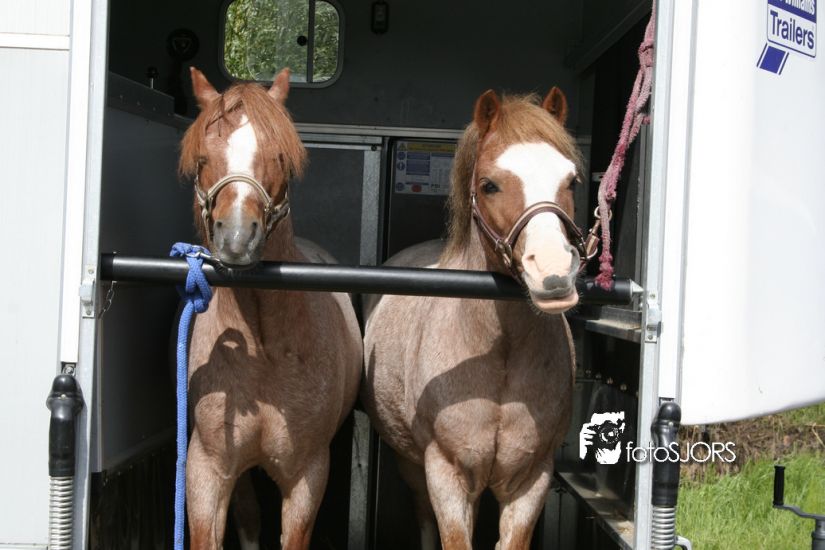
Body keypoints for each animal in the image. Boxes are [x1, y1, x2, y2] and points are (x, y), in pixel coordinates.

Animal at [178, 67, 362, 550]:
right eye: (202, 158)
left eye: (279, 156)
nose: (237, 237)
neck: (261, 351)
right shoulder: (207, 471)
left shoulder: (306, 476)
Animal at [363, 88, 583, 549]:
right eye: (489, 185)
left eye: (571, 180)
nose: (554, 274)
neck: (498, 355)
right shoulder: (447, 474)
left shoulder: (531, 478)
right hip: (414, 466)